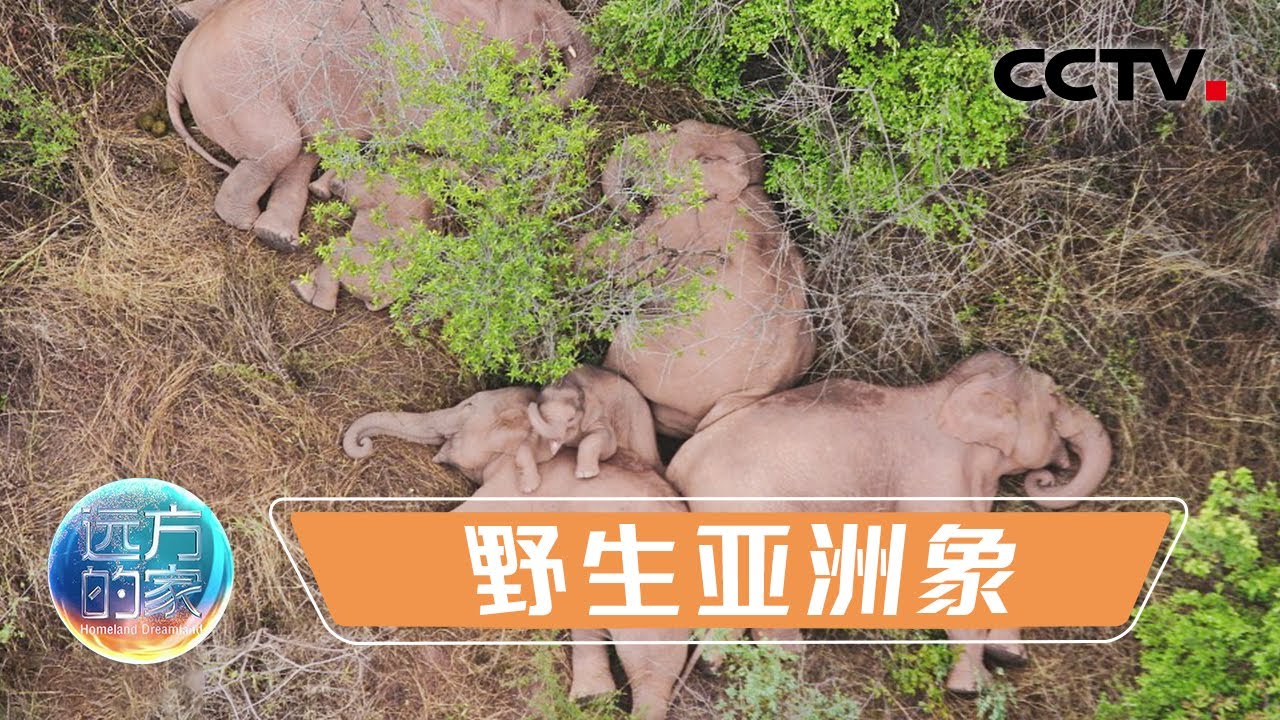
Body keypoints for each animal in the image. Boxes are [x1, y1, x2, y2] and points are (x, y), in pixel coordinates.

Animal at [166, 0, 596, 251]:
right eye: (539, 19)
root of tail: (179, 65)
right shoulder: (417, 55)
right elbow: (431, 120)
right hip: (236, 87)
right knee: (282, 145)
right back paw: (247, 222)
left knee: (302, 150)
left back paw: (280, 237)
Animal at [517, 365, 663, 492]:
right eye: (542, 416)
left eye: (571, 419)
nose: (531, 404)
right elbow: (528, 448)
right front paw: (528, 488)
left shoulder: (598, 415)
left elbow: (607, 443)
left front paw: (586, 474)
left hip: (639, 423)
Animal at [664, 350, 1113, 694]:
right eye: (1055, 395)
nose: (1046, 477)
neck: (948, 391)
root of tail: (679, 468)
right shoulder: (933, 478)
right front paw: (973, 690)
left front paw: (1008, 656)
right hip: (754, 503)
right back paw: (787, 661)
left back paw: (717, 665)